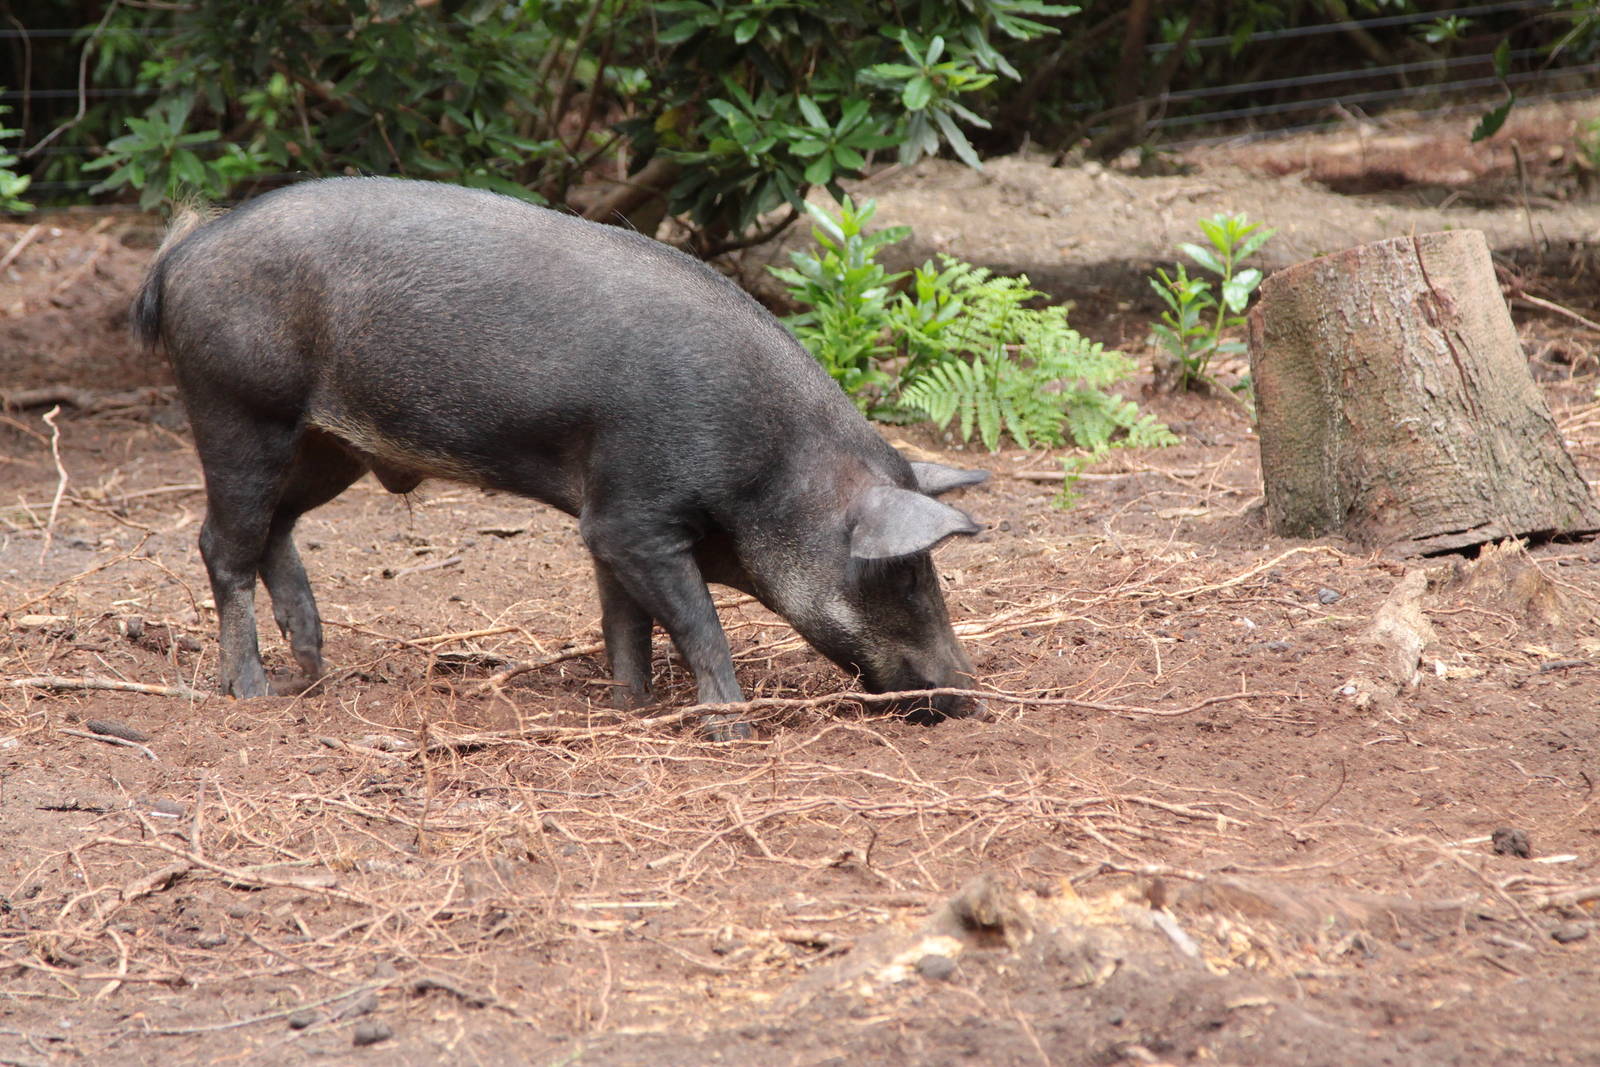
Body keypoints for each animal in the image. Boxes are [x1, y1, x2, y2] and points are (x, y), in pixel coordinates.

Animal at [132, 177, 987, 737]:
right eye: (907, 573)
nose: (969, 694)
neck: (772, 471)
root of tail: (182, 249)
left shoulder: (609, 518)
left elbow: (625, 620)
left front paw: (631, 708)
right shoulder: (634, 515)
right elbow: (696, 619)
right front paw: (730, 729)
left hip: (325, 445)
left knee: (274, 530)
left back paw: (313, 670)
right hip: (240, 410)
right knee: (221, 543)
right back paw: (252, 692)